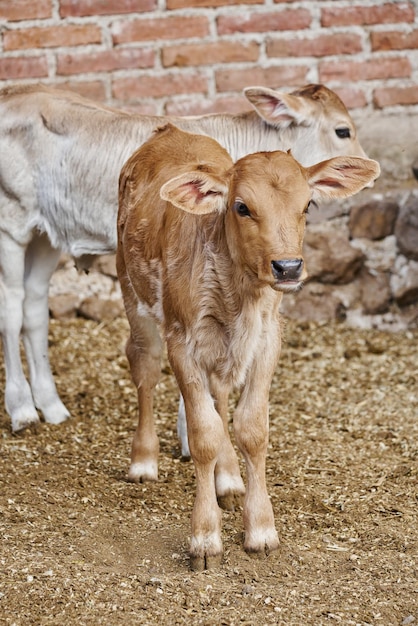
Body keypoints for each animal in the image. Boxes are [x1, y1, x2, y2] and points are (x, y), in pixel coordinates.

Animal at [0, 81, 368, 434]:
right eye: (342, 131)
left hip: (45, 237)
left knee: (35, 307)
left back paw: (51, 406)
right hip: (11, 226)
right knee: (12, 310)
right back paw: (23, 410)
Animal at [116, 124, 380, 568]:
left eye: (308, 204)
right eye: (241, 207)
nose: (288, 267)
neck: (237, 296)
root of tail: (170, 130)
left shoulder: (267, 338)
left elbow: (252, 429)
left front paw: (260, 528)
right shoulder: (181, 340)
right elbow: (203, 432)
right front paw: (205, 538)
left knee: (220, 393)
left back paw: (228, 478)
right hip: (133, 294)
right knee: (145, 368)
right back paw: (144, 461)